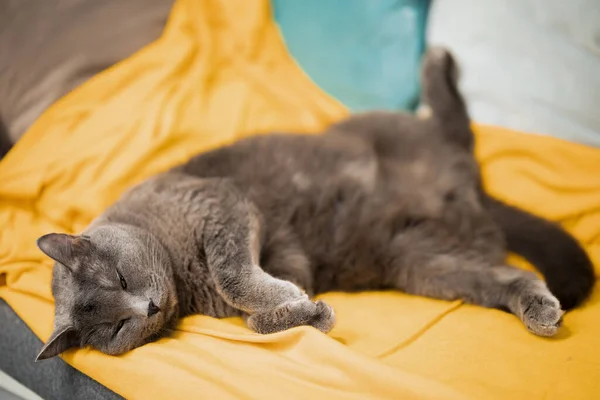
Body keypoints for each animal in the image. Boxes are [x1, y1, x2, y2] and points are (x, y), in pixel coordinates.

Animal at [34, 48, 596, 360]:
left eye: (122, 280)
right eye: (117, 328)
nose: (148, 307)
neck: (179, 273)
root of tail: (471, 194)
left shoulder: (223, 203)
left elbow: (234, 276)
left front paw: (292, 302)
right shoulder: (276, 259)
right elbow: (258, 316)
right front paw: (308, 309)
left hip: (384, 130)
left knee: (459, 127)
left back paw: (437, 65)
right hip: (425, 264)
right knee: (511, 275)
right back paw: (540, 310)